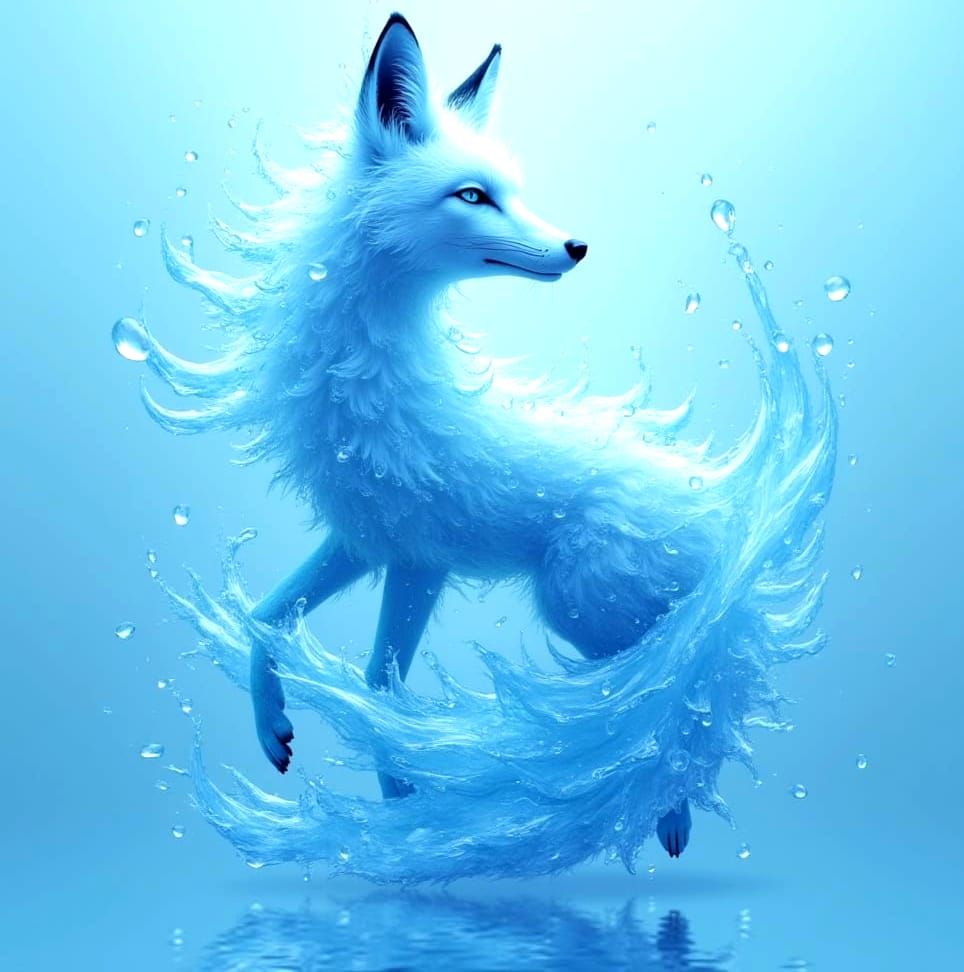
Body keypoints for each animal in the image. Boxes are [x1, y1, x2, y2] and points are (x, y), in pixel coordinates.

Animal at [137, 12, 738, 860]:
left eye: (510, 192)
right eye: (474, 196)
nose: (577, 247)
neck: (373, 375)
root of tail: (711, 504)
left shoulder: (423, 559)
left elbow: (377, 684)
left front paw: (402, 815)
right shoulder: (373, 541)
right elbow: (274, 622)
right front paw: (282, 735)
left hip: (582, 608)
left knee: (686, 678)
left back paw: (672, 809)